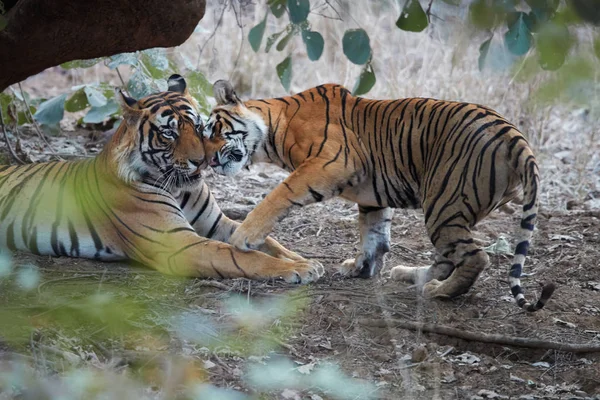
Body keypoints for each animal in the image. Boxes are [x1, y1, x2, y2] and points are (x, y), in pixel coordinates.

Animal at [0, 75, 324, 284]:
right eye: (169, 132)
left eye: (198, 126)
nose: (202, 160)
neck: (179, 188)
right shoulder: (177, 243)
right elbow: (243, 257)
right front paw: (299, 269)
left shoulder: (218, 224)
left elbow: (268, 241)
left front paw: (304, 260)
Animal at [204, 80, 556, 312]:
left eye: (214, 130)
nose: (209, 161)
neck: (272, 133)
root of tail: (514, 134)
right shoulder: (372, 193)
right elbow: (374, 233)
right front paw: (361, 268)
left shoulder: (330, 161)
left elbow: (280, 193)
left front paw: (245, 235)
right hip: (447, 209)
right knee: (448, 257)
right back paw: (410, 275)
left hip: (444, 202)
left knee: (475, 257)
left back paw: (438, 292)